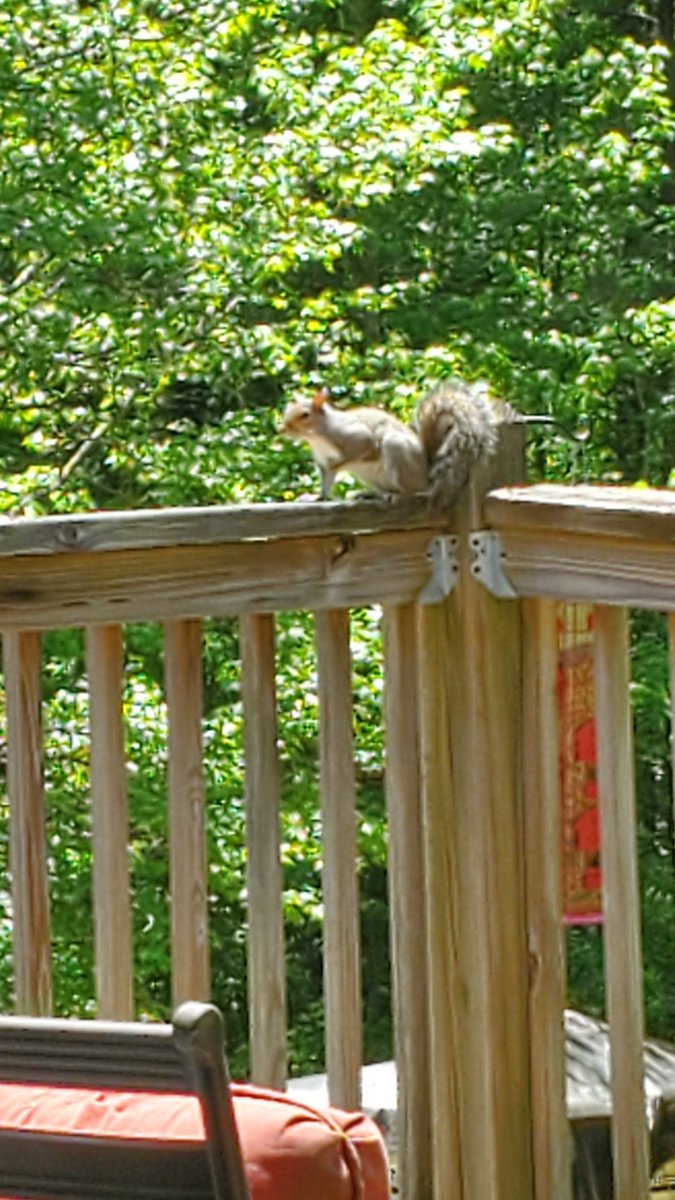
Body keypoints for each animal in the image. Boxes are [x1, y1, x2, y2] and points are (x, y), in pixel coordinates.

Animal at [278, 379, 509, 501]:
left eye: (305, 415)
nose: (283, 428)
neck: (317, 438)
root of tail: (427, 474)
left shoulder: (357, 437)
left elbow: (360, 451)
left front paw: (339, 465)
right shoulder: (321, 464)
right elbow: (326, 482)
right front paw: (319, 497)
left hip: (395, 448)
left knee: (415, 491)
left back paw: (397, 495)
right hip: (371, 476)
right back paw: (369, 494)